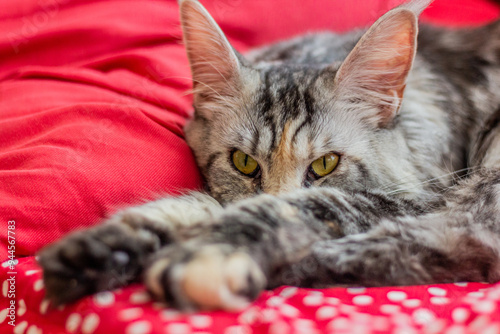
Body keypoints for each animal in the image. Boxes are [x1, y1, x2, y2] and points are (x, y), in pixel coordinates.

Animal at [37, 0, 500, 310]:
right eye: (244, 163)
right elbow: (198, 205)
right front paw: (103, 247)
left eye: (325, 164)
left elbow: (295, 208)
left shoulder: (424, 194)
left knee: (446, 246)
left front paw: (202, 254)